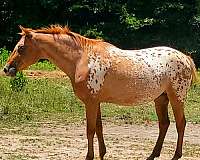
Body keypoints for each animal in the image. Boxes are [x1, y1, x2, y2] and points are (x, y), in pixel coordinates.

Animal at [3, 25, 196, 160]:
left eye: (21, 48)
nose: (6, 69)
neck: (81, 59)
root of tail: (185, 57)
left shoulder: (90, 102)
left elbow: (90, 130)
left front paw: (89, 156)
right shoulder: (96, 102)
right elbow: (99, 128)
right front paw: (102, 153)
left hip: (176, 98)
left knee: (180, 124)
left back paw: (176, 155)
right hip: (160, 99)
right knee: (164, 124)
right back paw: (152, 155)